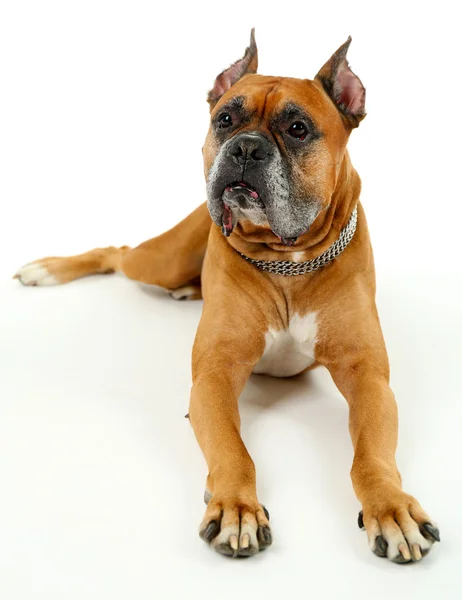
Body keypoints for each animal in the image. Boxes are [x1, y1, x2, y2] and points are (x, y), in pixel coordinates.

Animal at [15, 29, 440, 564]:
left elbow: (372, 454)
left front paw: (390, 507)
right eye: (225, 119)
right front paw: (236, 507)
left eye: (298, 128)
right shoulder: (214, 378)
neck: (287, 259)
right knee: (117, 252)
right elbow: (234, 450)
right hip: (159, 258)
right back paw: (48, 269)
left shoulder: (369, 381)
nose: (246, 149)